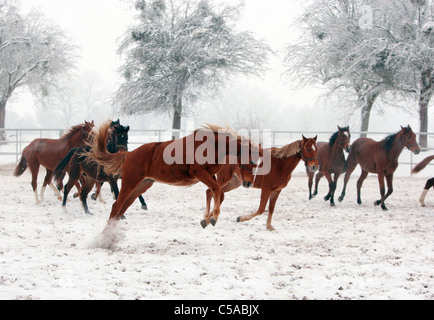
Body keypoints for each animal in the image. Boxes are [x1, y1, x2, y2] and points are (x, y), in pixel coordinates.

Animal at [83, 120, 262, 228]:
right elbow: (216, 191)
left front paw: (206, 219)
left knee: (122, 208)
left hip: (142, 186)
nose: (248, 183)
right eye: (250, 160)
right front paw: (213, 218)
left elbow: (217, 193)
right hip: (130, 182)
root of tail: (130, 154)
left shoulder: (210, 176)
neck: (212, 146)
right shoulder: (199, 172)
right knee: (116, 206)